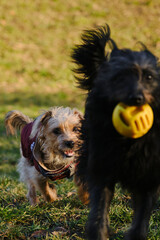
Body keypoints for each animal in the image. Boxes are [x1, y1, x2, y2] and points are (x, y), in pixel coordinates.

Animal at [72, 24, 160, 240]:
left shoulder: (149, 174)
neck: (130, 142)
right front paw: (98, 233)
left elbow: (142, 214)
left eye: (149, 77)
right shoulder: (103, 164)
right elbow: (99, 207)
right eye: (120, 76)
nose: (137, 98)